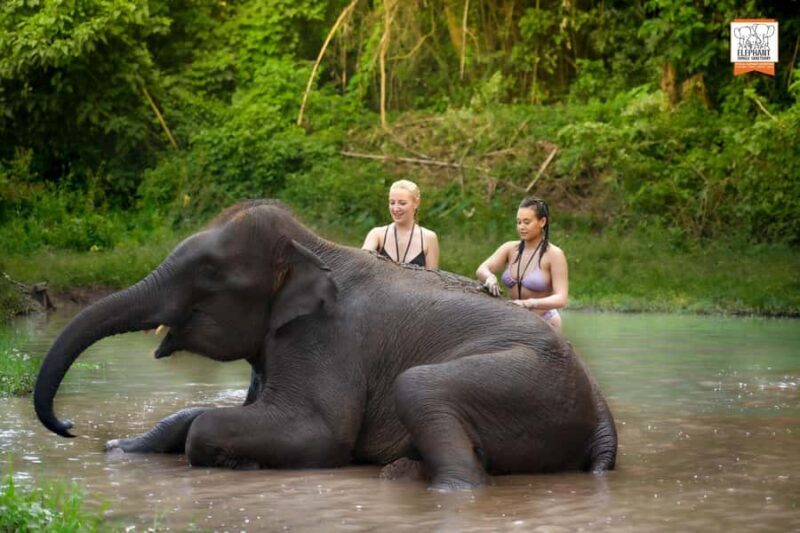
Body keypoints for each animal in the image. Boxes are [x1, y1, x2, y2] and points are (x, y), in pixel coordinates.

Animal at [34, 200, 617, 490]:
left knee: (422, 392)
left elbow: (317, 436)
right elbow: (198, 414)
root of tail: (602, 420)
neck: (312, 245)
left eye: (210, 273)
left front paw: (240, 464)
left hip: (529, 383)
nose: (69, 427)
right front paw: (122, 449)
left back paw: (417, 482)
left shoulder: (324, 338)